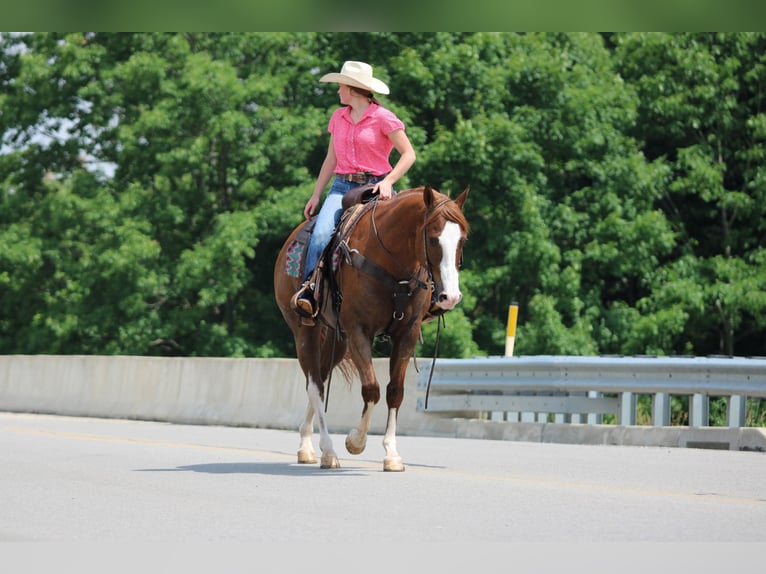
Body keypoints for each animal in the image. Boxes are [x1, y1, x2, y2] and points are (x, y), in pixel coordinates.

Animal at [273, 184, 469, 471]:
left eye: (462, 240)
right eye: (433, 239)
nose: (451, 296)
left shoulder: (406, 334)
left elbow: (394, 392)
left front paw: (392, 454)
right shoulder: (358, 331)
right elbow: (371, 389)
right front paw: (355, 441)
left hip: (337, 340)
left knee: (320, 377)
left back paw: (307, 447)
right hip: (304, 330)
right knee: (315, 386)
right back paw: (328, 451)